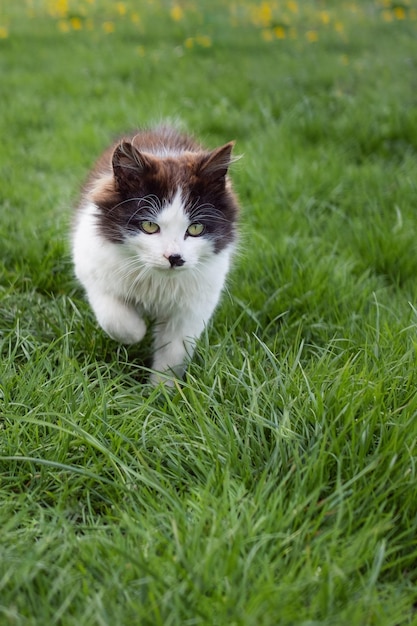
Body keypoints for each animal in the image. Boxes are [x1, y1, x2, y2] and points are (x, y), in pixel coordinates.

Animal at [72, 125, 239, 382]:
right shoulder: (91, 268)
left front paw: (160, 390)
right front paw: (138, 331)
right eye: (149, 226)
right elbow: (116, 319)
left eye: (195, 229)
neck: (156, 281)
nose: (175, 258)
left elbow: (173, 354)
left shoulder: (193, 307)